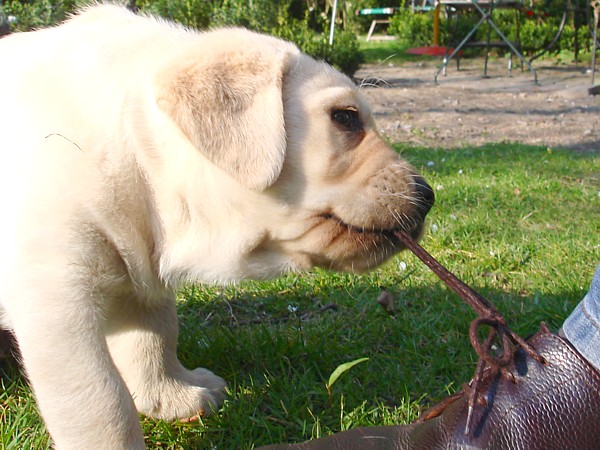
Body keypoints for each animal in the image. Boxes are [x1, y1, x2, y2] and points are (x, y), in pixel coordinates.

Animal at [0, 4, 432, 450]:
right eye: (345, 118)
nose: (428, 194)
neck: (135, 147)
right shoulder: (56, 295)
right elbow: (101, 400)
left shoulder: (141, 255)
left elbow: (155, 333)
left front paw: (172, 394)